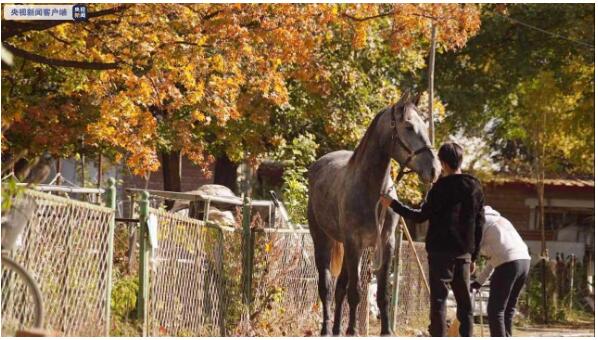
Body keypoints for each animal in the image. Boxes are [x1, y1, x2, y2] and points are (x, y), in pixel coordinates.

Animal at [308, 93, 442, 334]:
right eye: (408, 126)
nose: (434, 169)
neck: (372, 190)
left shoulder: (386, 244)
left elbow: (382, 295)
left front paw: (386, 331)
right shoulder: (354, 243)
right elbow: (355, 293)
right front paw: (352, 331)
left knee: (340, 288)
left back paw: (336, 330)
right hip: (323, 239)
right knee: (327, 288)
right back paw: (326, 330)